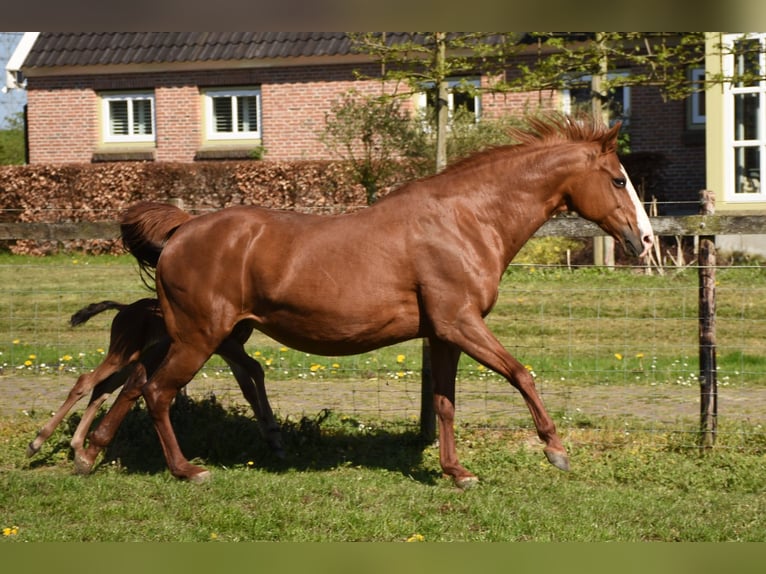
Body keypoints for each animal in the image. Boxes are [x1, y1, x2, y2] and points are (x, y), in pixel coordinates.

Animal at [25, 298, 284, 468]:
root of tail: (125, 307)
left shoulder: (230, 349)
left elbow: (249, 384)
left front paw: (271, 436)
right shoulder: (225, 345)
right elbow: (257, 369)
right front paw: (272, 431)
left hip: (132, 359)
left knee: (101, 388)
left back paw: (78, 446)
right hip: (123, 355)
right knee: (85, 382)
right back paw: (37, 443)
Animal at [80, 113, 653, 487]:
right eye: (618, 179)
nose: (645, 242)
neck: (466, 221)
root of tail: (182, 229)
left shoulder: (443, 333)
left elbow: (444, 404)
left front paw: (456, 472)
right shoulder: (461, 323)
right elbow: (521, 374)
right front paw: (556, 451)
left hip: (198, 333)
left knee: (133, 382)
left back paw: (88, 454)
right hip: (199, 336)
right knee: (157, 392)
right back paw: (186, 470)